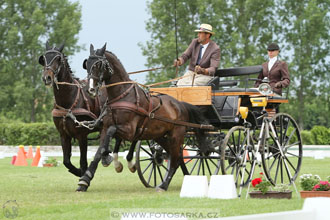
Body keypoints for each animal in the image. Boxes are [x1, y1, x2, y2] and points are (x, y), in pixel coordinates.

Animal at [76, 43, 208, 192]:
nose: (91, 89)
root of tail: (180, 104)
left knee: (175, 159)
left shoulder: (129, 130)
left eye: (99, 64)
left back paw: (164, 185)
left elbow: (112, 133)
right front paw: (85, 179)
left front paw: (113, 162)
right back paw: (186, 178)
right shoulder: (106, 128)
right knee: (178, 156)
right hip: (161, 136)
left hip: (176, 135)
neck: (121, 96)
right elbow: (101, 149)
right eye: (87, 64)